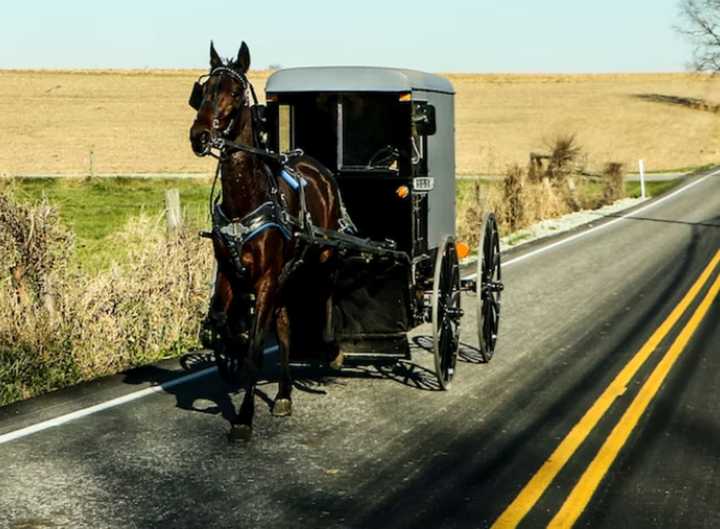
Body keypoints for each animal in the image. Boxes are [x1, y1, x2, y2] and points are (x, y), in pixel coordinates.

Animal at [188, 41, 346, 440]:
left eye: (235, 92)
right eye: (204, 90)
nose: (199, 136)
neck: (246, 198)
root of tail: (315, 166)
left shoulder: (266, 279)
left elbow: (257, 347)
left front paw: (244, 417)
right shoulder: (229, 271)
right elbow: (222, 321)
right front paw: (229, 346)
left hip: (322, 255)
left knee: (326, 292)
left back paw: (331, 348)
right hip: (287, 275)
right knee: (286, 324)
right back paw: (286, 393)